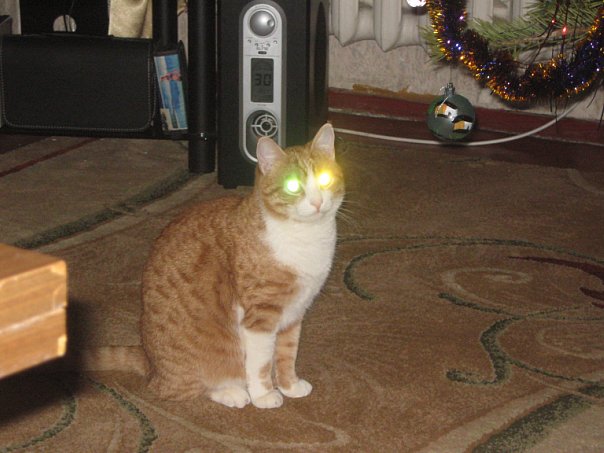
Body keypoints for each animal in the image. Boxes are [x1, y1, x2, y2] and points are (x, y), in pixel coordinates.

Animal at [82, 123, 344, 409]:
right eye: (293, 186)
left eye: (325, 179)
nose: (317, 203)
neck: (306, 238)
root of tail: (150, 362)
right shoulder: (260, 319)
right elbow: (261, 365)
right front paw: (264, 395)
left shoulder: (294, 314)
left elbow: (287, 355)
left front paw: (289, 385)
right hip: (197, 367)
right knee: (182, 389)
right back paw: (232, 393)